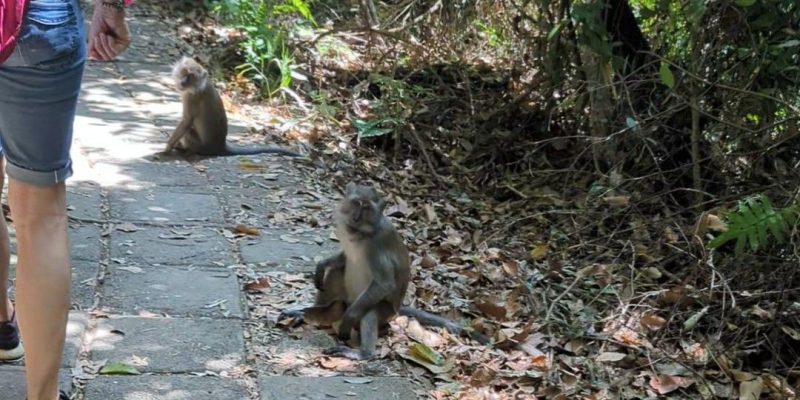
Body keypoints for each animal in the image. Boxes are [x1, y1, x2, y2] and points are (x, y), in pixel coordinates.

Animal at [165, 56, 303, 158]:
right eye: (185, 72)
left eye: (191, 77)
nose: (183, 82)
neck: (198, 86)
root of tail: (221, 146)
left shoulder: (191, 98)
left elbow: (186, 121)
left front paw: (167, 148)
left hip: (199, 145)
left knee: (188, 130)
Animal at [278, 182, 489, 360]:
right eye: (356, 203)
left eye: (367, 208)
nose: (355, 218)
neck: (361, 235)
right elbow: (342, 260)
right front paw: (322, 264)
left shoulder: (377, 247)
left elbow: (384, 283)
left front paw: (348, 320)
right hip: (345, 299)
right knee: (337, 272)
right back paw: (307, 313)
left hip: (385, 312)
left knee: (369, 310)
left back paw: (362, 353)